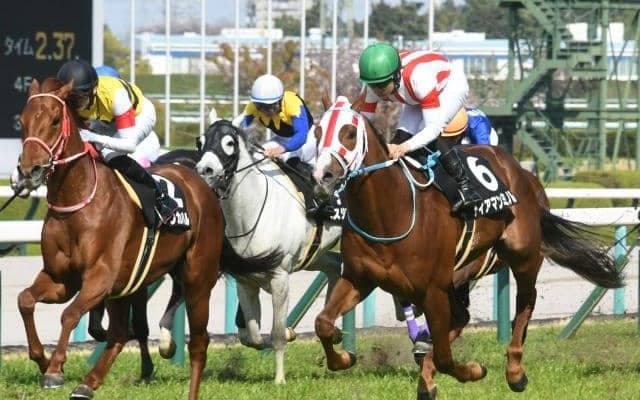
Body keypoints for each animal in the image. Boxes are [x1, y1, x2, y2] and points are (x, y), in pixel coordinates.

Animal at [16, 78, 282, 400]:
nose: (29, 170)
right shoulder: (61, 279)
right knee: (119, 333)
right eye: (22, 121)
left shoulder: (100, 278)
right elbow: (25, 300)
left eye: (55, 120)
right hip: (126, 286)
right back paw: (88, 383)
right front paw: (43, 360)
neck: (78, 200)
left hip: (197, 277)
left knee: (198, 343)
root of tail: (202, 184)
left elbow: (69, 314)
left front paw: (55, 369)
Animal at [156, 118, 343, 384]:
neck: (251, 213)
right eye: (200, 142)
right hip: (313, 255)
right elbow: (251, 335)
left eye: (229, 143)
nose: (205, 171)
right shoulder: (244, 279)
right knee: (335, 265)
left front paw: (279, 379)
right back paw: (333, 331)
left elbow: (276, 332)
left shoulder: (279, 277)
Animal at [311, 97, 623, 399]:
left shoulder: (433, 290)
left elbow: (446, 357)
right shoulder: (359, 278)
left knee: (525, 301)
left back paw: (515, 372)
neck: (390, 212)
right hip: (461, 273)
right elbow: (322, 322)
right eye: (317, 132)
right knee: (461, 317)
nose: (323, 176)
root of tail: (525, 173)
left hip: (523, 254)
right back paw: (427, 376)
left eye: (349, 133)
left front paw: (474, 370)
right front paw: (343, 355)